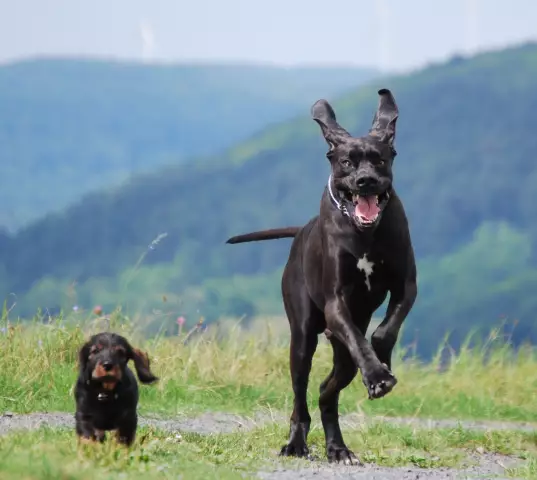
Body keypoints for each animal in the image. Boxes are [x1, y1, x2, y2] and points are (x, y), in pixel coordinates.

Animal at [226, 89, 418, 464]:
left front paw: (381, 363)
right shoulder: (335, 303)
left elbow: (385, 330)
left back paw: (338, 447)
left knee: (328, 390)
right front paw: (377, 375)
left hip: (340, 355)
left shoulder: (406, 286)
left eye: (379, 160)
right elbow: (360, 339)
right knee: (302, 396)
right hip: (303, 338)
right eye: (346, 162)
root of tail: (301, 231)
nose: (365, 181)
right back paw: (296, 443)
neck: (363, 233)